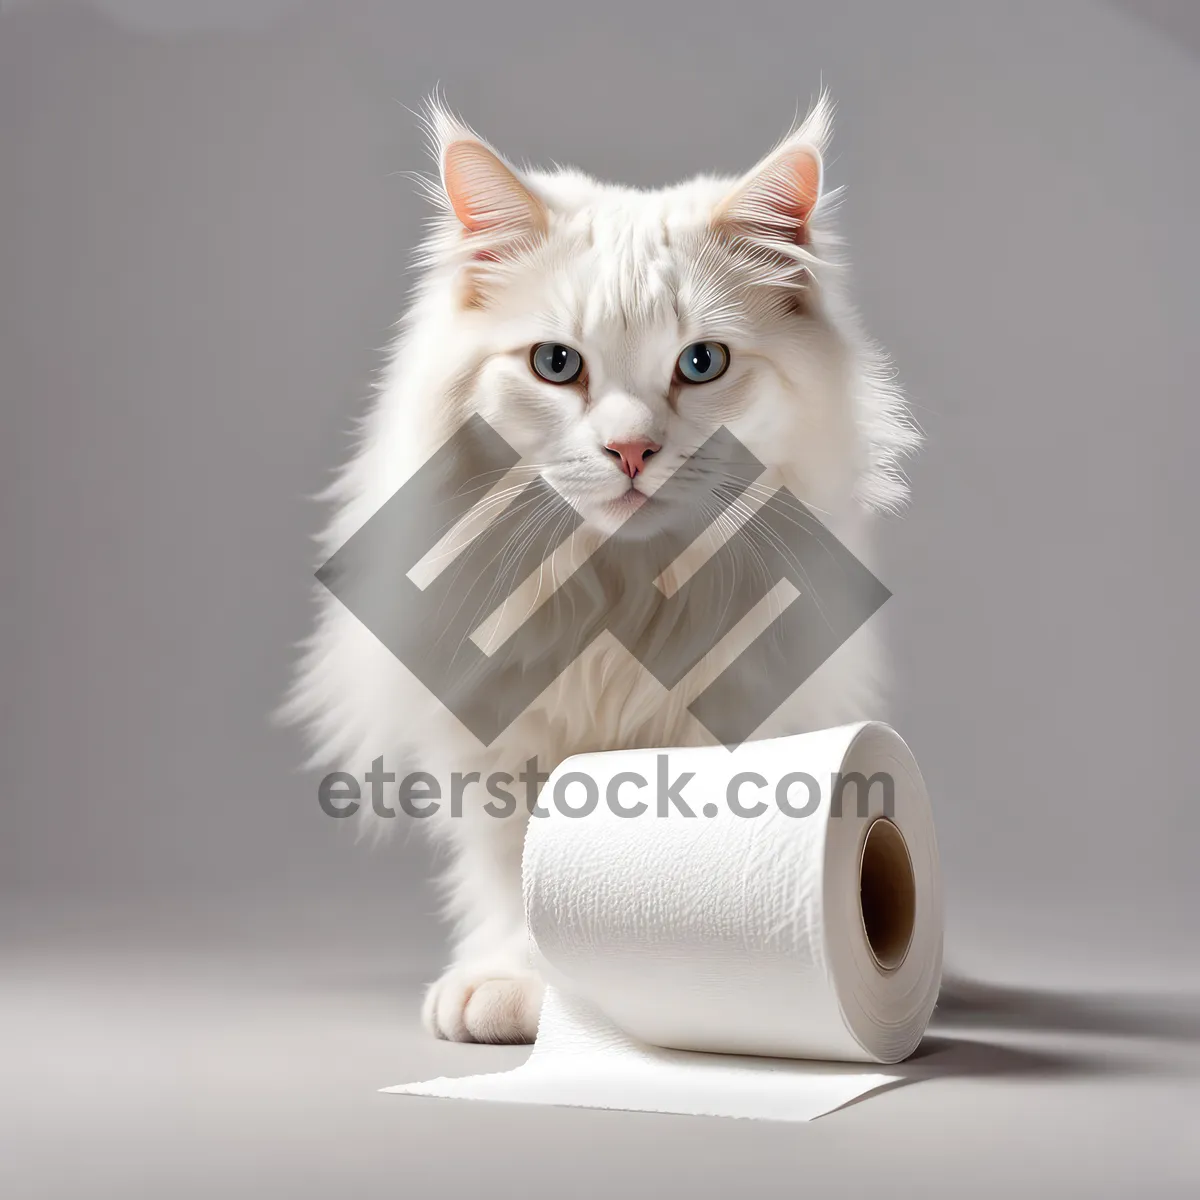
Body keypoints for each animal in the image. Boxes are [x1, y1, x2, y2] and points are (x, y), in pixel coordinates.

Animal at [283, 93, 916, 1041]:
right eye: (556, 365)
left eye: (701, 363)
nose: (630, 450)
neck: (620, 595)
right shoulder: (501, 747)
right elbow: (517, 878)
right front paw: (516, 986)